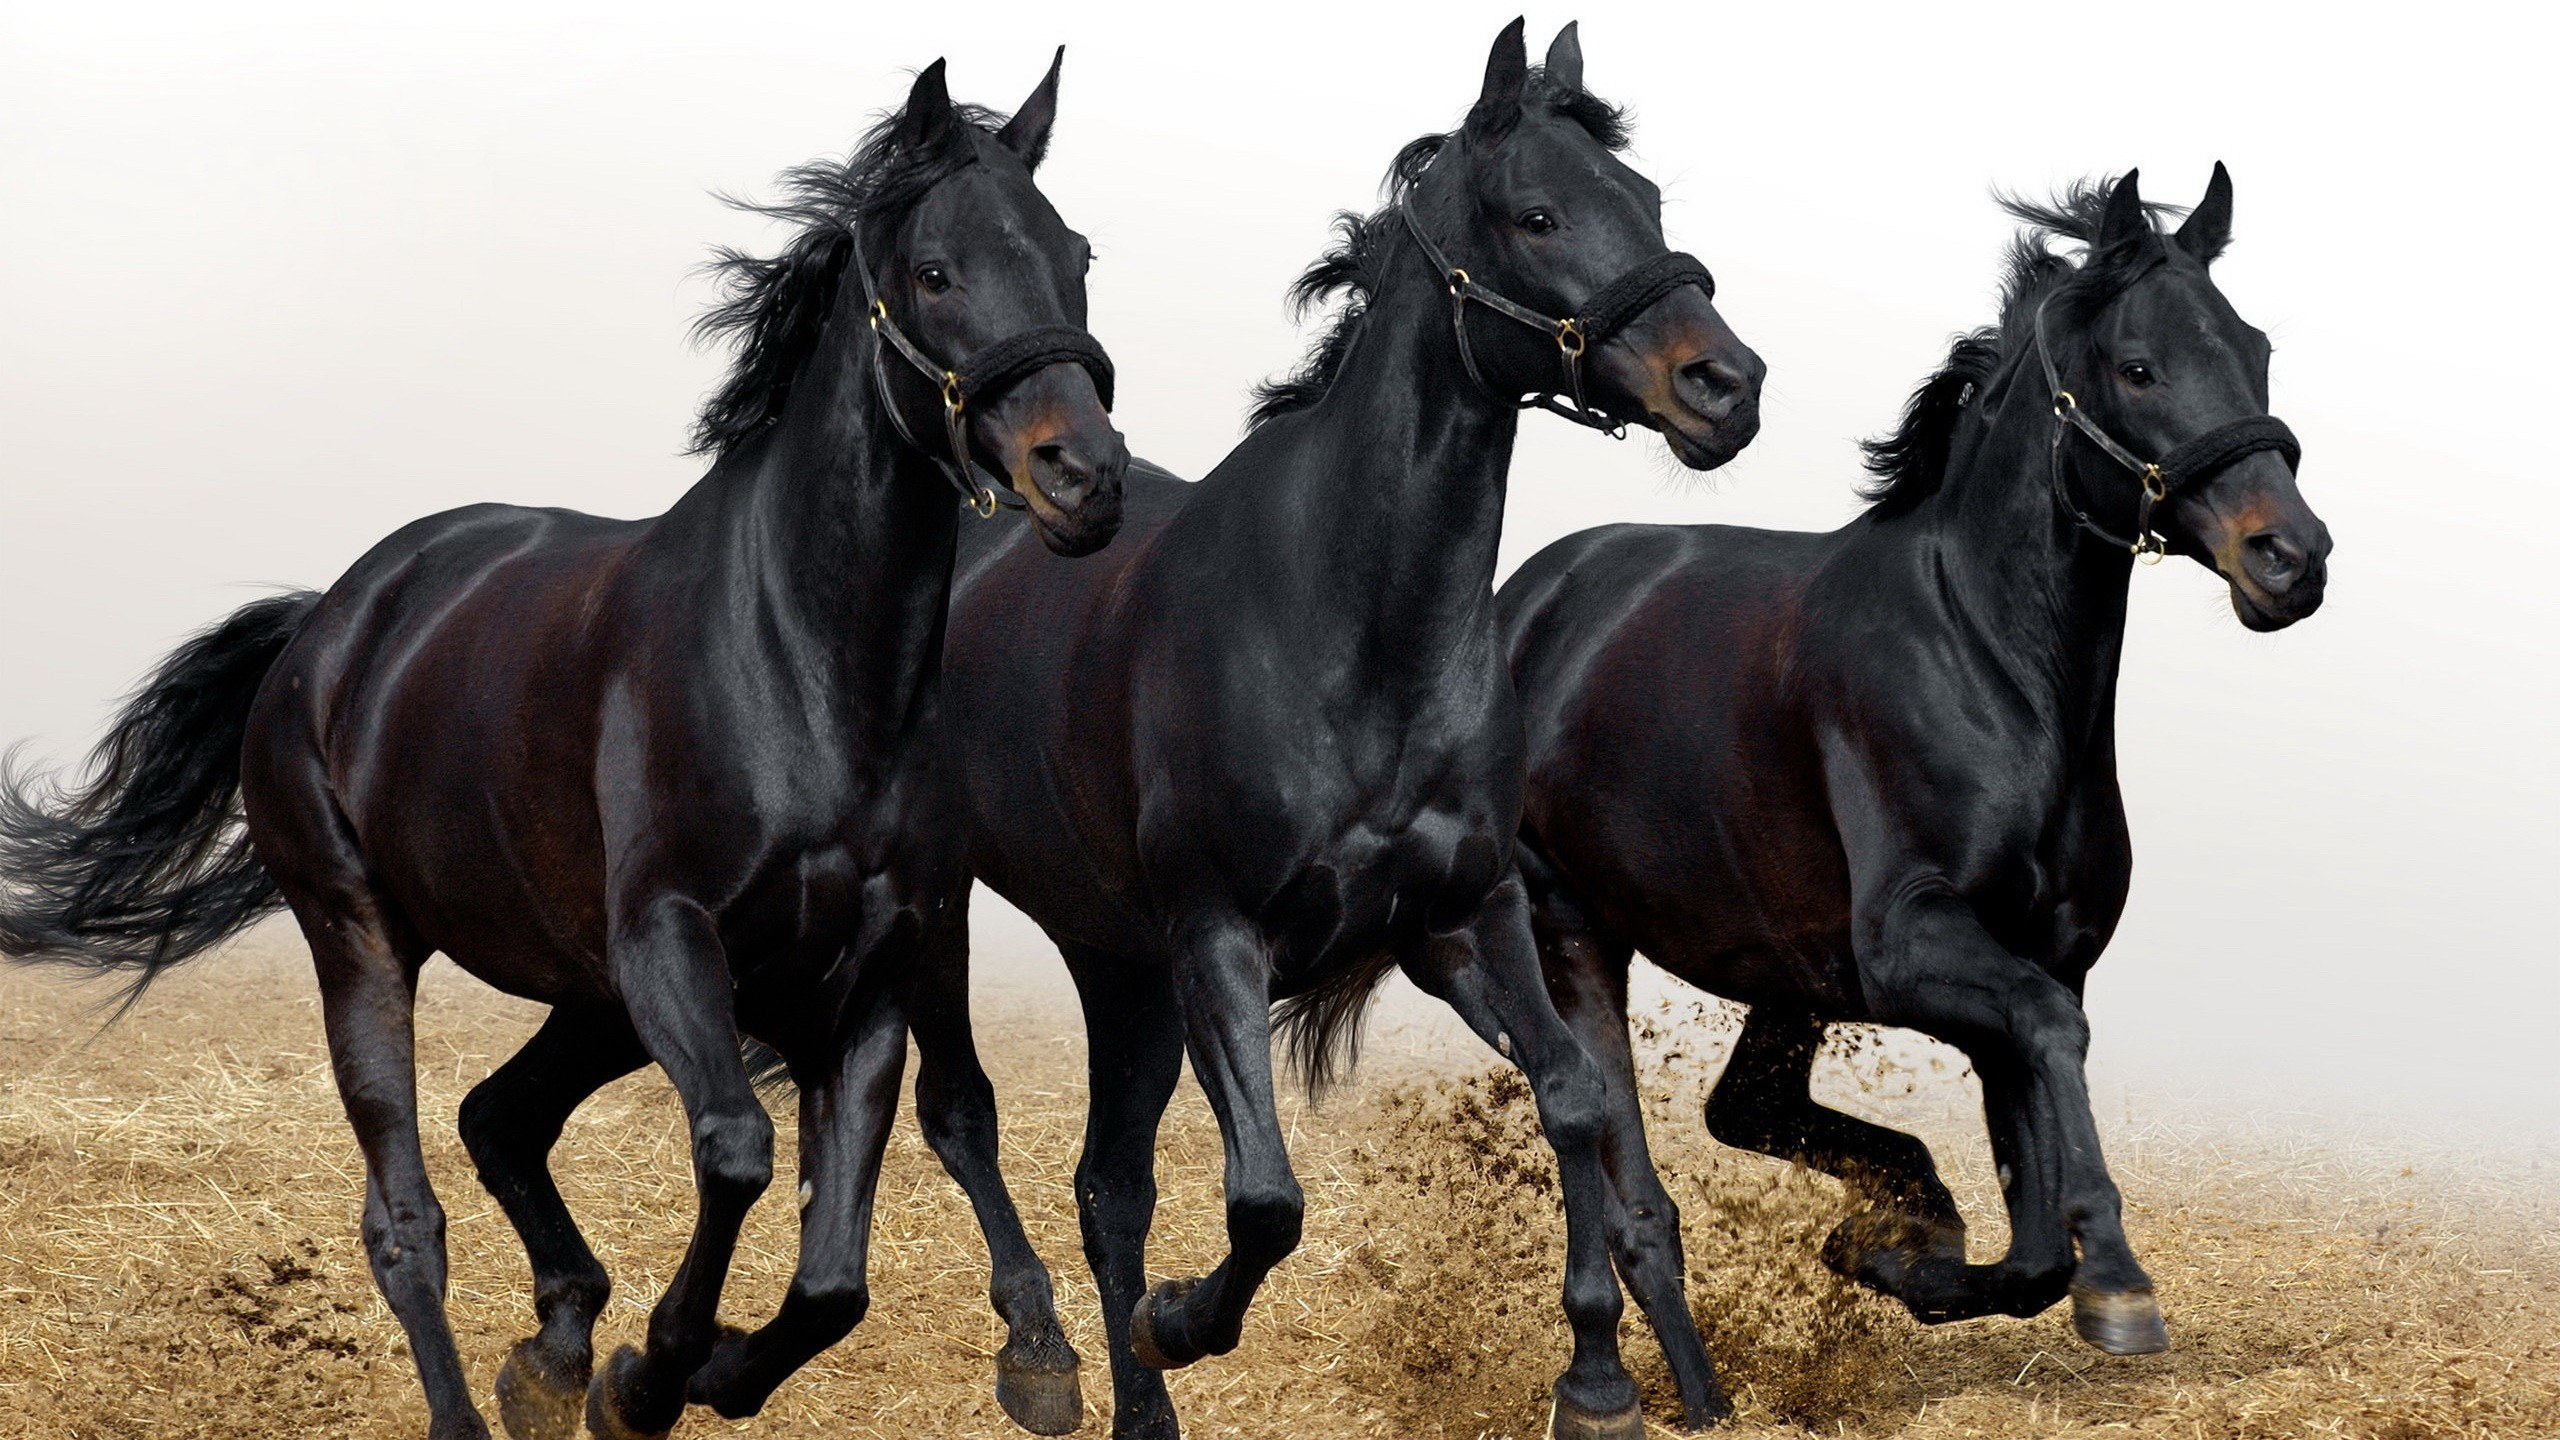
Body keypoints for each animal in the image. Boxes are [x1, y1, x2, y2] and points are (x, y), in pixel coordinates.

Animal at [0, 55, 1124, 1440]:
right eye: (933, 272)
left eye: (1076, 255)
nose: (1085, 477)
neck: (798, 667)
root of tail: (329, 621)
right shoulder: (670, 942)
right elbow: (738, 1151)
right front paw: (653, 1373)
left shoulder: (864, 972)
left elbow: (833, 1278)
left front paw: (693, 1368)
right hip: (366, 939)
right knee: (407, 1218)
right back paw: (492, 1391)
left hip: (586, 991)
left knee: (500, 1117)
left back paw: (552, 1354)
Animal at [935, 21, 1764, 1440]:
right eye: (1537, 214)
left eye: (1647, 200)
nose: (1727, 385)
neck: (1348, 627)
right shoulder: (1218, 940)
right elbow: (1266, 1199)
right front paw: (1182, 1321)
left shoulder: (1466, 916)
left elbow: (1574, 1100)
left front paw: (1597, 1380)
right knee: (964, 1120)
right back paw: (1042, 1357)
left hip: (1118, 961)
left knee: (1109, 1187)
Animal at [1495, 167, 2331, 1383]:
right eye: (2138, 367)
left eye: (2256, 349)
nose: (2292, 557)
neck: (1989, 666)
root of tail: (1522, 604)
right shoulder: (1914, 946)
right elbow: (2049, 1052)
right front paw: (2118, 1284)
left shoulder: (2037, 955)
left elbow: (2034, 1235)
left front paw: (1897, 1254)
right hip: (1574, 931)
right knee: (1636, 1193)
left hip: (1785, 973)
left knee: (1743, 1108)